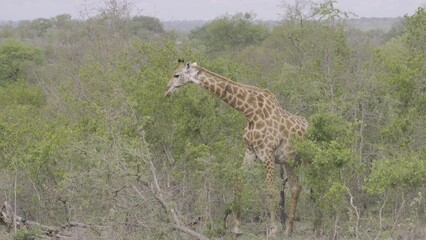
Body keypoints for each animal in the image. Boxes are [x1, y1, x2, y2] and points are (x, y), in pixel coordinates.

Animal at [165, 60, 308, 236]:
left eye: (176, 75)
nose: (167, 90)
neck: (250, 111)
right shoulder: (251, 151)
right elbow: (239, 183)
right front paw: (237, 227)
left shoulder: (267, 153)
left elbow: (271, 191)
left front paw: (273, 230)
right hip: (289, 161)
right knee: (296, 187)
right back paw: (288, 231)